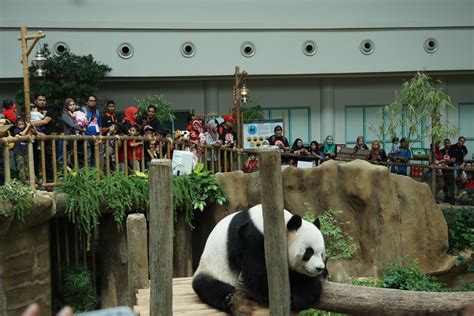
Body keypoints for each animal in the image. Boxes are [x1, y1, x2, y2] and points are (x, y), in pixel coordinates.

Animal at [193, 205, 326, 314]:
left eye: (322, 254)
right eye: (309, 252)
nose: (319, 268)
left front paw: (301, 297)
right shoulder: (251, 237)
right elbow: (258, 275)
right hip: (211, 268)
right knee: (210, 287)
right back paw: (238, 304)